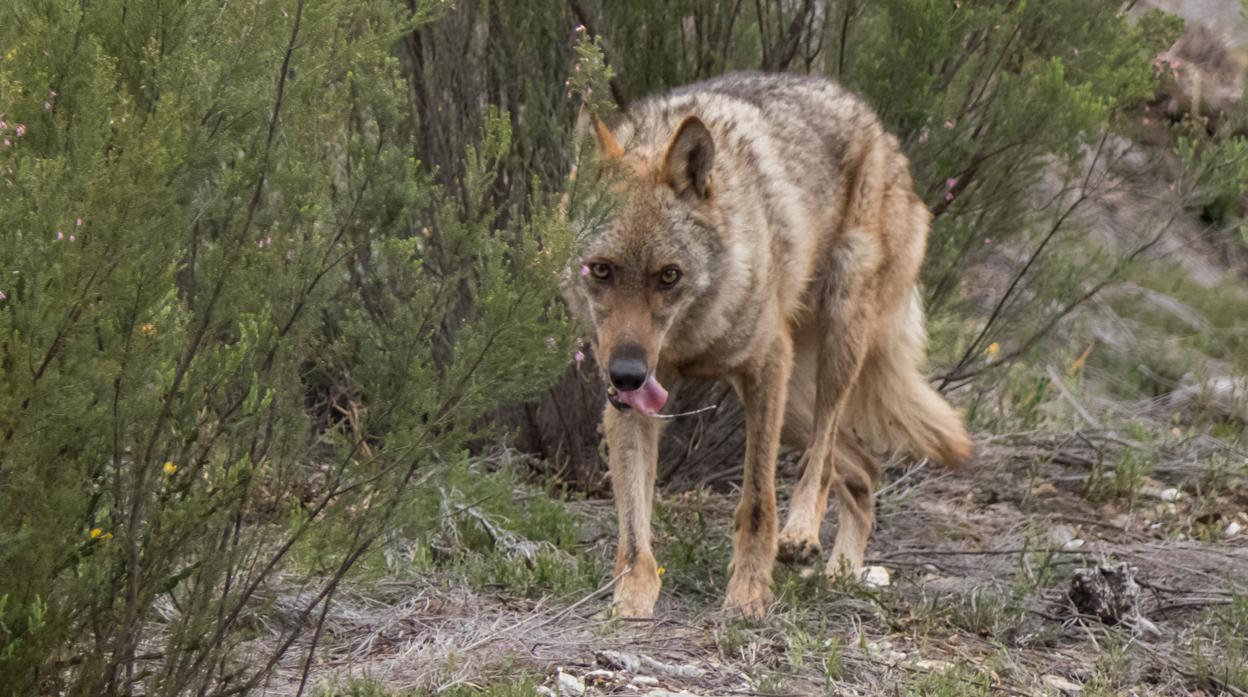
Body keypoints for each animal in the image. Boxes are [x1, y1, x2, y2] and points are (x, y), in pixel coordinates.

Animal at [566, 71, 973, 619]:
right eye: (601, 270)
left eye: (668, 276)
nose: (627, 374)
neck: (692, 336)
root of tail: (881, 131)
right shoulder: (629, 404)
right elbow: (633, 524)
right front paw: (631, 597)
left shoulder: (764, 367)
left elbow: (758, 500)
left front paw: (749, 594)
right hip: (793, 405)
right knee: (864, 469)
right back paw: (842, 573)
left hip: (833, 349)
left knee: (822, 459)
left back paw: (802, 535)